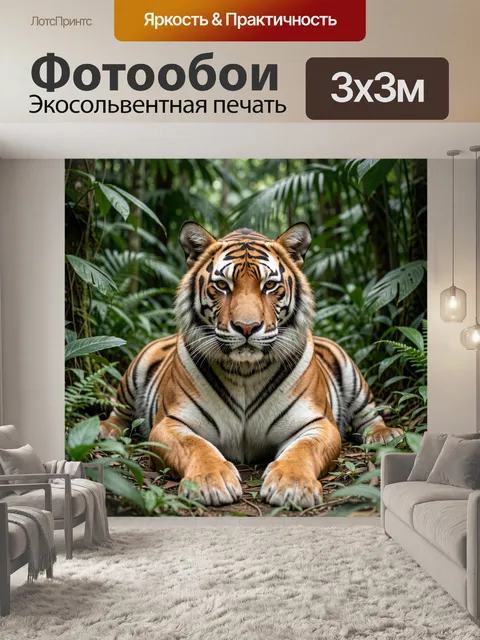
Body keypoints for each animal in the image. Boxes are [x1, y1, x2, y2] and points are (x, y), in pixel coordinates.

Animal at [100, 221, 403, 508]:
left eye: (269, 286)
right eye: (222, 285)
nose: (247, 327)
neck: (245, 371)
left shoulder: (316, 423)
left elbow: (303, 450)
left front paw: (293, 486)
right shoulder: (170, 422)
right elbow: (195, 446)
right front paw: (210, 481)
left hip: (351, 372)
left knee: (370, 413)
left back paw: (386, 436)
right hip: (135, 371)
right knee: (119, 411)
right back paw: (105, 429)